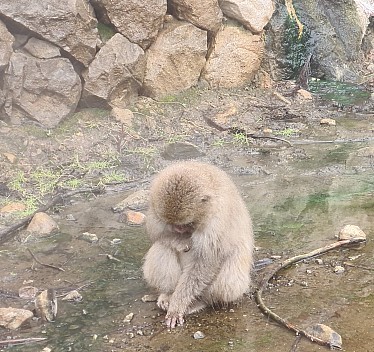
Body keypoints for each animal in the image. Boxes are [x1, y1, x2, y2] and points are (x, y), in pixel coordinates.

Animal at [143, 161, 254, 328]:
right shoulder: (155, 209)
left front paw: (177, 306)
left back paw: (200, 302)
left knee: (228, 275)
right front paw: (181, 242)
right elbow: (155, 233)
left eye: (187, 223)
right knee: (161, 247)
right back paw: (168, 294)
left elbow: (206, 262)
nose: (178, 230)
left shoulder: (215, 222)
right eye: (173, 223)